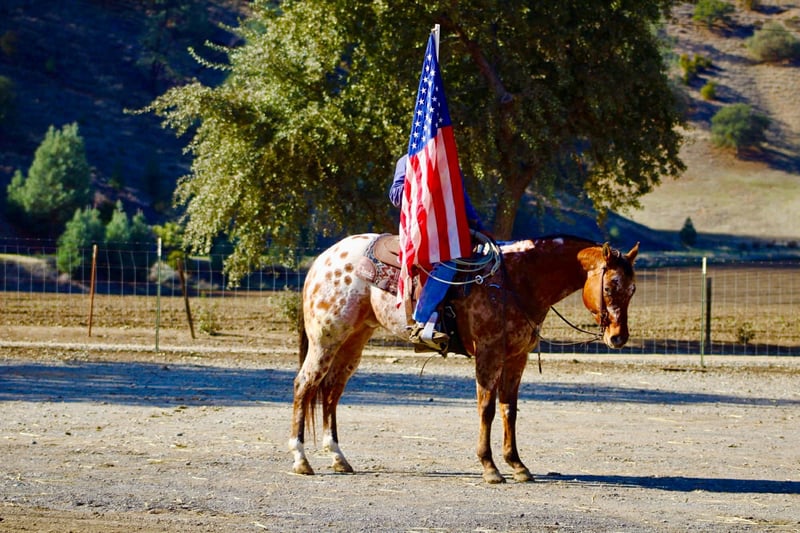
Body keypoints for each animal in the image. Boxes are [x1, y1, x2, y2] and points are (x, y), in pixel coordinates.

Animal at [289, 233, 638, 483]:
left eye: (633, 289)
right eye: (610, 286)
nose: (618, 338)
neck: (516, 281)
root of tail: (324, 259)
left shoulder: (517, 357)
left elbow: (508, 409)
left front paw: (517, 465)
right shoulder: (488, 353)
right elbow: (486, 409)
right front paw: (489, 467)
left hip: (354, 340)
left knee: (331, 391)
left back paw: (338, 458)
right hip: (325, 339)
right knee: (304, 386)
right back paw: (301, 459)